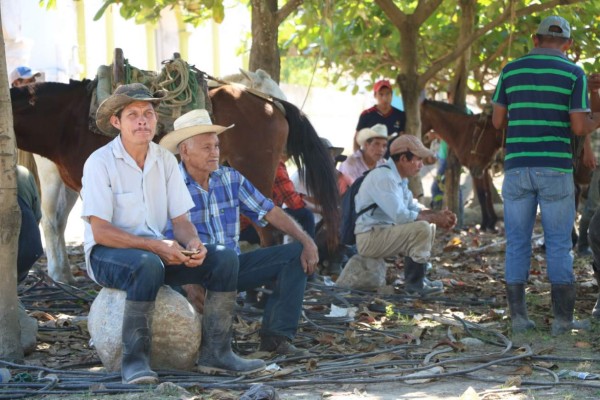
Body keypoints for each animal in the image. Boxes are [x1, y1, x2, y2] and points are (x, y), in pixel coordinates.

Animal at [420, 99, 504, 231]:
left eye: (421, 116)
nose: (424, 138)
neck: (462, 132)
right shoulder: (482, 169)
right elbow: (488, 193)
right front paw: (492, 222)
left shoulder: (474, 169)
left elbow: (481, 194)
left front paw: (485, 223)